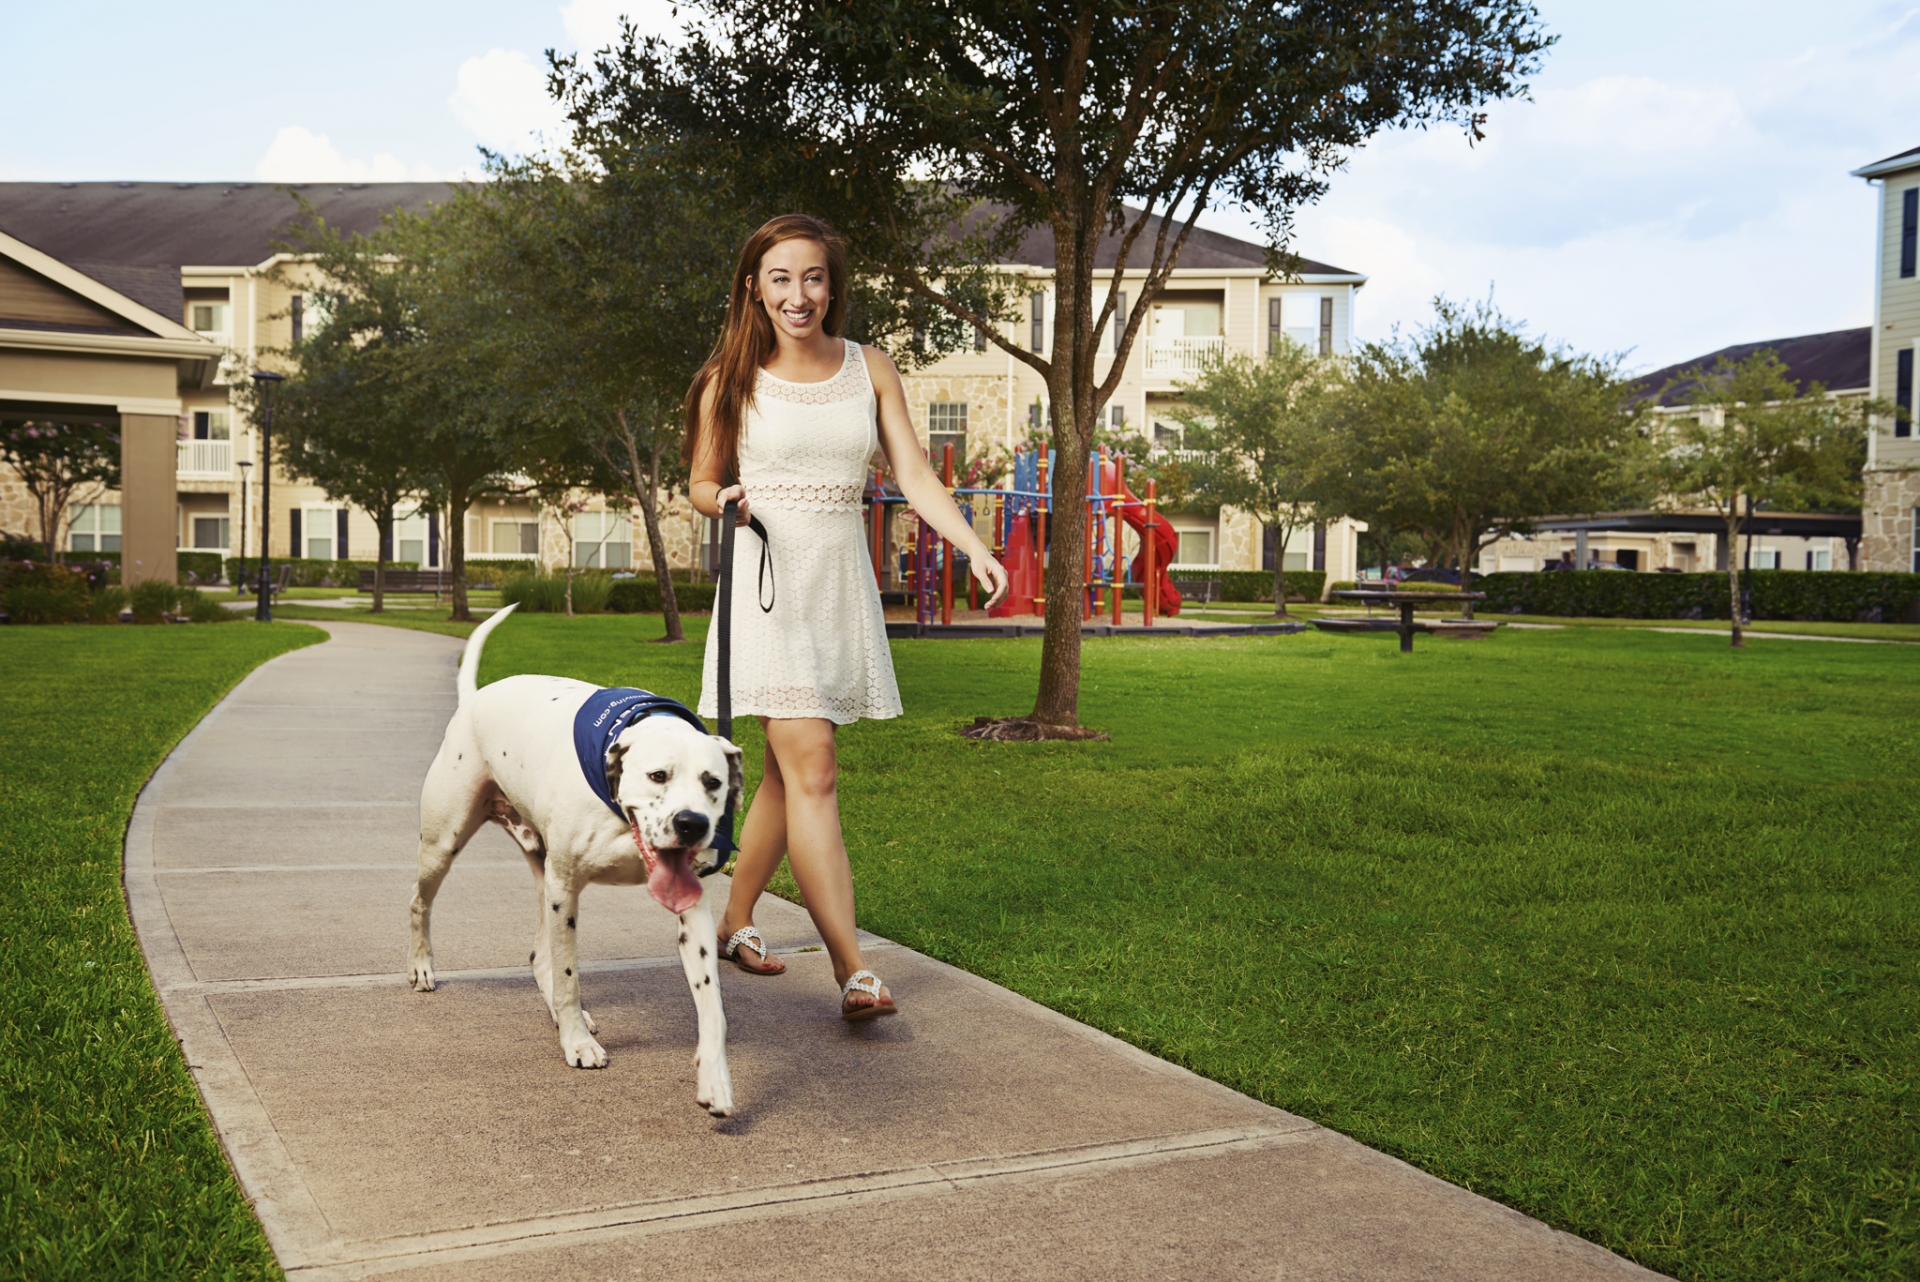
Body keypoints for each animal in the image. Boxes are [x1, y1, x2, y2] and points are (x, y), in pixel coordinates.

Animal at [412, 602, 741, 1113]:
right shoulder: (565, 889)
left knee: (537, 954)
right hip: (444, 845)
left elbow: (712, 1003)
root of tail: (473, 701)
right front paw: (577, 1045)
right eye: (658, 775)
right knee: (419, 902)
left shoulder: (693, 909)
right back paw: (423, 966)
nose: (692, 824)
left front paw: (714, 1078)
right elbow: (569, 976)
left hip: (541, 871)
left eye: (713, 782)